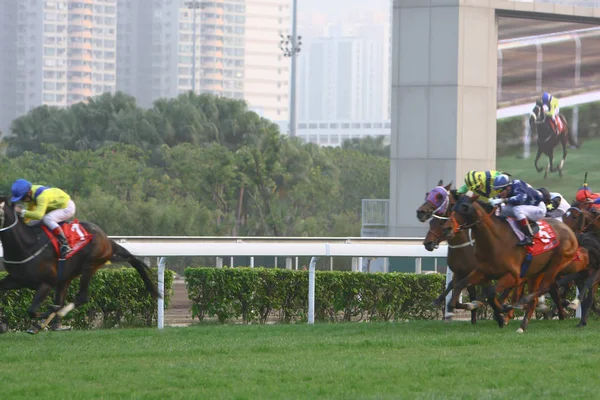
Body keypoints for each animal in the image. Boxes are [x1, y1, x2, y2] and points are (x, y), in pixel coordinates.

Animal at [0, 198, 159, 334]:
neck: (27, 245)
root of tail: (108, 240)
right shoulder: (16, 279)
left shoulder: (46, 282)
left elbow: (32, 310)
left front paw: (48, 312)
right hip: (66, 277)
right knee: (62, 298)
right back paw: (52, 324)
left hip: (90, 265)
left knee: (82, 297)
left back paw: (56, 315)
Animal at [442, 196, 580, 332]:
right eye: (453, 207)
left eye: (464, 208)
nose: (447, 228)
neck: (496, 240)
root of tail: (569, 230)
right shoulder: (482, 272)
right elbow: (459, 286)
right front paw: (462, 307)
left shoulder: (513, 276)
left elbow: (492, 293)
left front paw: (503, 309)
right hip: (535, 273)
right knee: (538, 297)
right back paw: (523, 324)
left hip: (556, 264)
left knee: (545, 288)